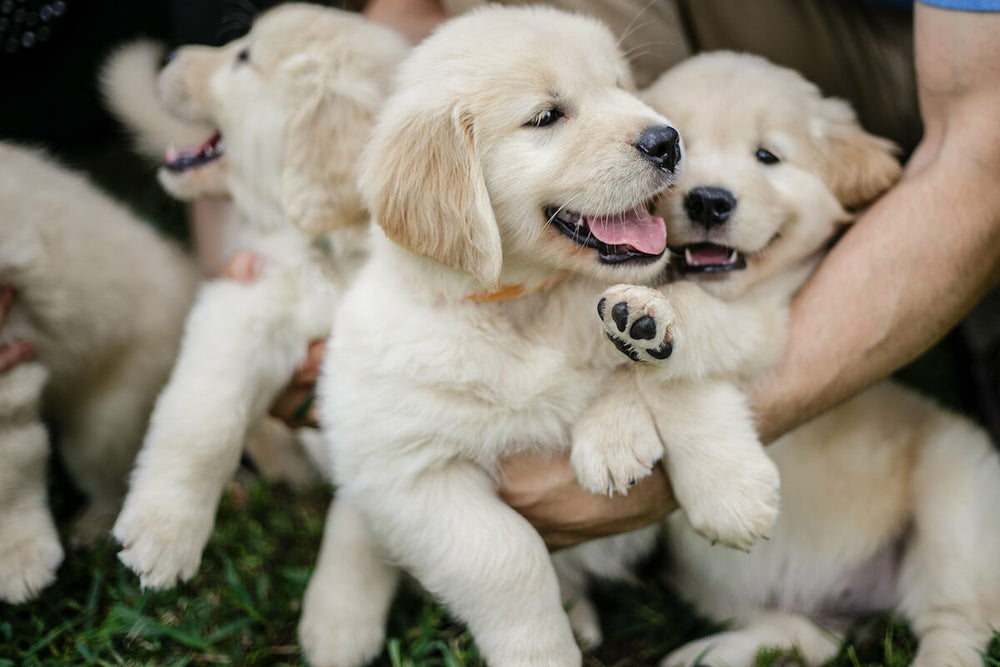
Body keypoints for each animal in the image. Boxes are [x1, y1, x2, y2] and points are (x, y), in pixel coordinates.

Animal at [108, 3, 406, 588]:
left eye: (243, 57)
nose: (171, 54)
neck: (338, 251)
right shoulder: (244, 302)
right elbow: (205, 422)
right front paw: (164, 532)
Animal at [298, 6, 780, 667]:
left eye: (621, 86)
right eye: (547, 116)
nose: (668, 139)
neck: (529, 305)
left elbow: (678, 370)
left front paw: (728, 491)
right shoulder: (411, 475)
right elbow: (510, 556)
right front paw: (543, 651)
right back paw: (338, 622)